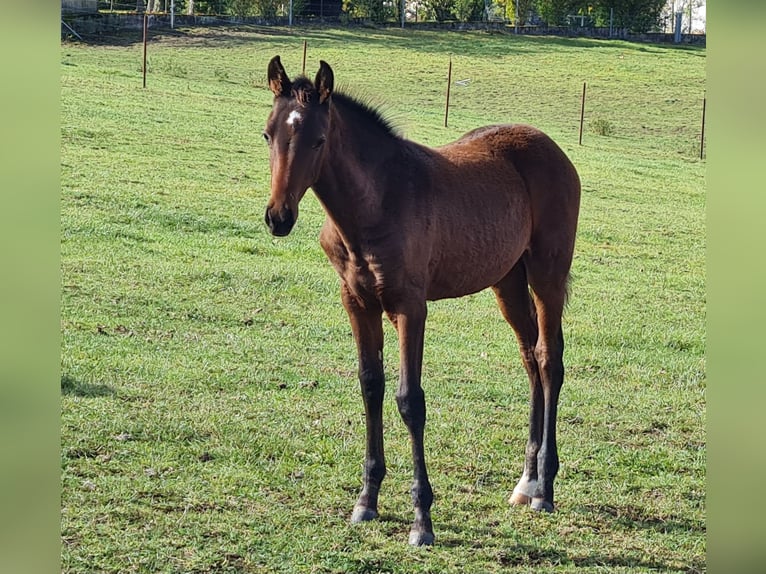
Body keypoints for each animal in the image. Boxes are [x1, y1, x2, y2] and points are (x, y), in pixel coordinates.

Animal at [264, 55, 584, 548]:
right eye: (268, 134)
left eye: (318, 140)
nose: (278, 218)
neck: (375, 203)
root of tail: (553, 148)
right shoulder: (356, 302)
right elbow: (370, 387)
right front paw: (366, 501)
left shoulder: (410, 307)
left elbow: (409, 401)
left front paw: (422, 520)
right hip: (507, 281)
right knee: (530, 357)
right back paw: (526, 482)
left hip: (547, 272)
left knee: (549, 359)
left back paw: (545, 490)